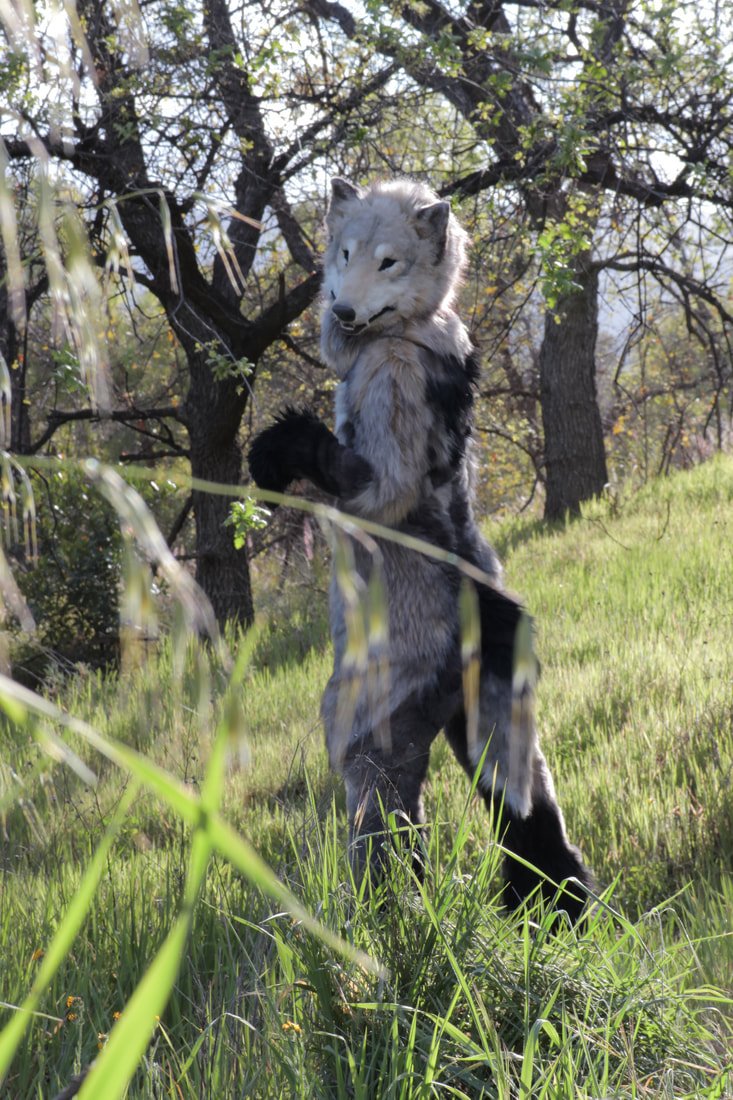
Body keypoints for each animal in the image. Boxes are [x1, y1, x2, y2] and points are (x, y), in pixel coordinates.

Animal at [248, 177, 592, 920]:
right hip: (472, 713)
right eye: (344, 252)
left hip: (372, 720)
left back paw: (383, 923)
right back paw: (557, 912)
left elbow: (366, 479)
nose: (343, 311)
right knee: (525, 807)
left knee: (385, 814)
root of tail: (478, 600)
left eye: (389, 261)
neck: (417, 328)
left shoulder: (389, 405)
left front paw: (280, 451)